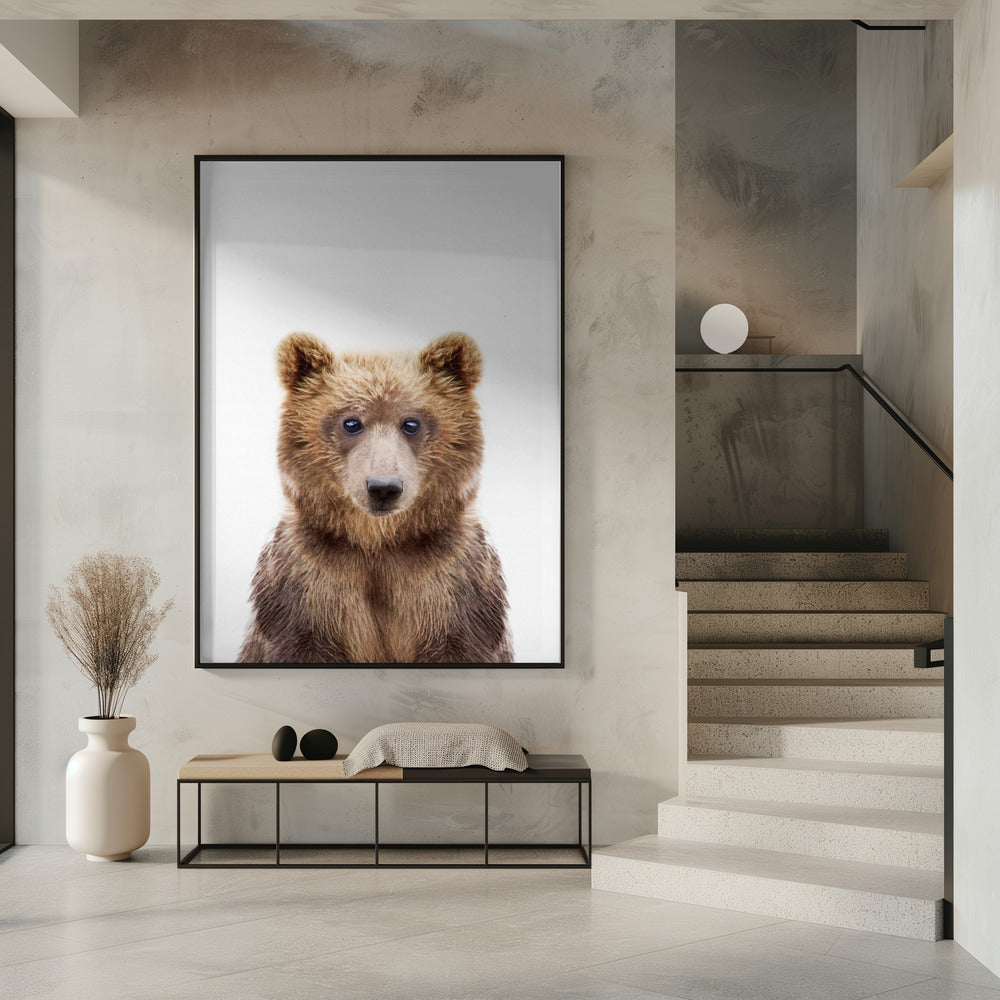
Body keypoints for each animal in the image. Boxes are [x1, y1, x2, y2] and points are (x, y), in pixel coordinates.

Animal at [237, 331, 513, 664]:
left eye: (411, 423)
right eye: (351, 422)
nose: (383, 487)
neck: (378, 542)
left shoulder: (451, 582)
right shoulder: (307, 582)